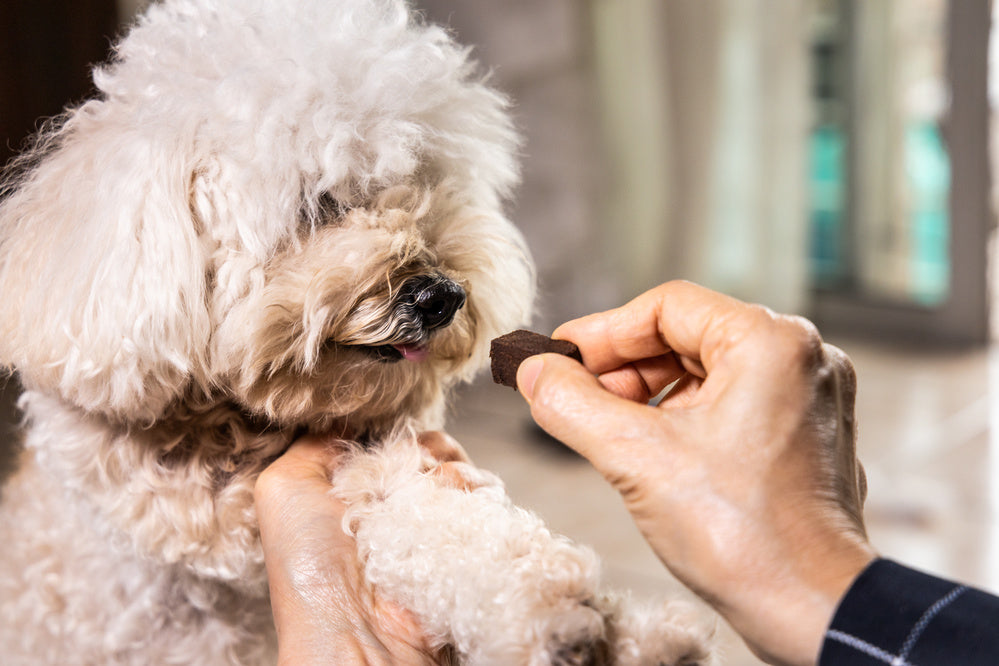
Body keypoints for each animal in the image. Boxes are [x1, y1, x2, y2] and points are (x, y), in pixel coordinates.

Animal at [0, 2, 716, 660]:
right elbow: (387, 507)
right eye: (320, 202)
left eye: (422, 182)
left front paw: (611, 625)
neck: (238, 424)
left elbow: (416, 511)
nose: (441, 296)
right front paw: (543, 608)